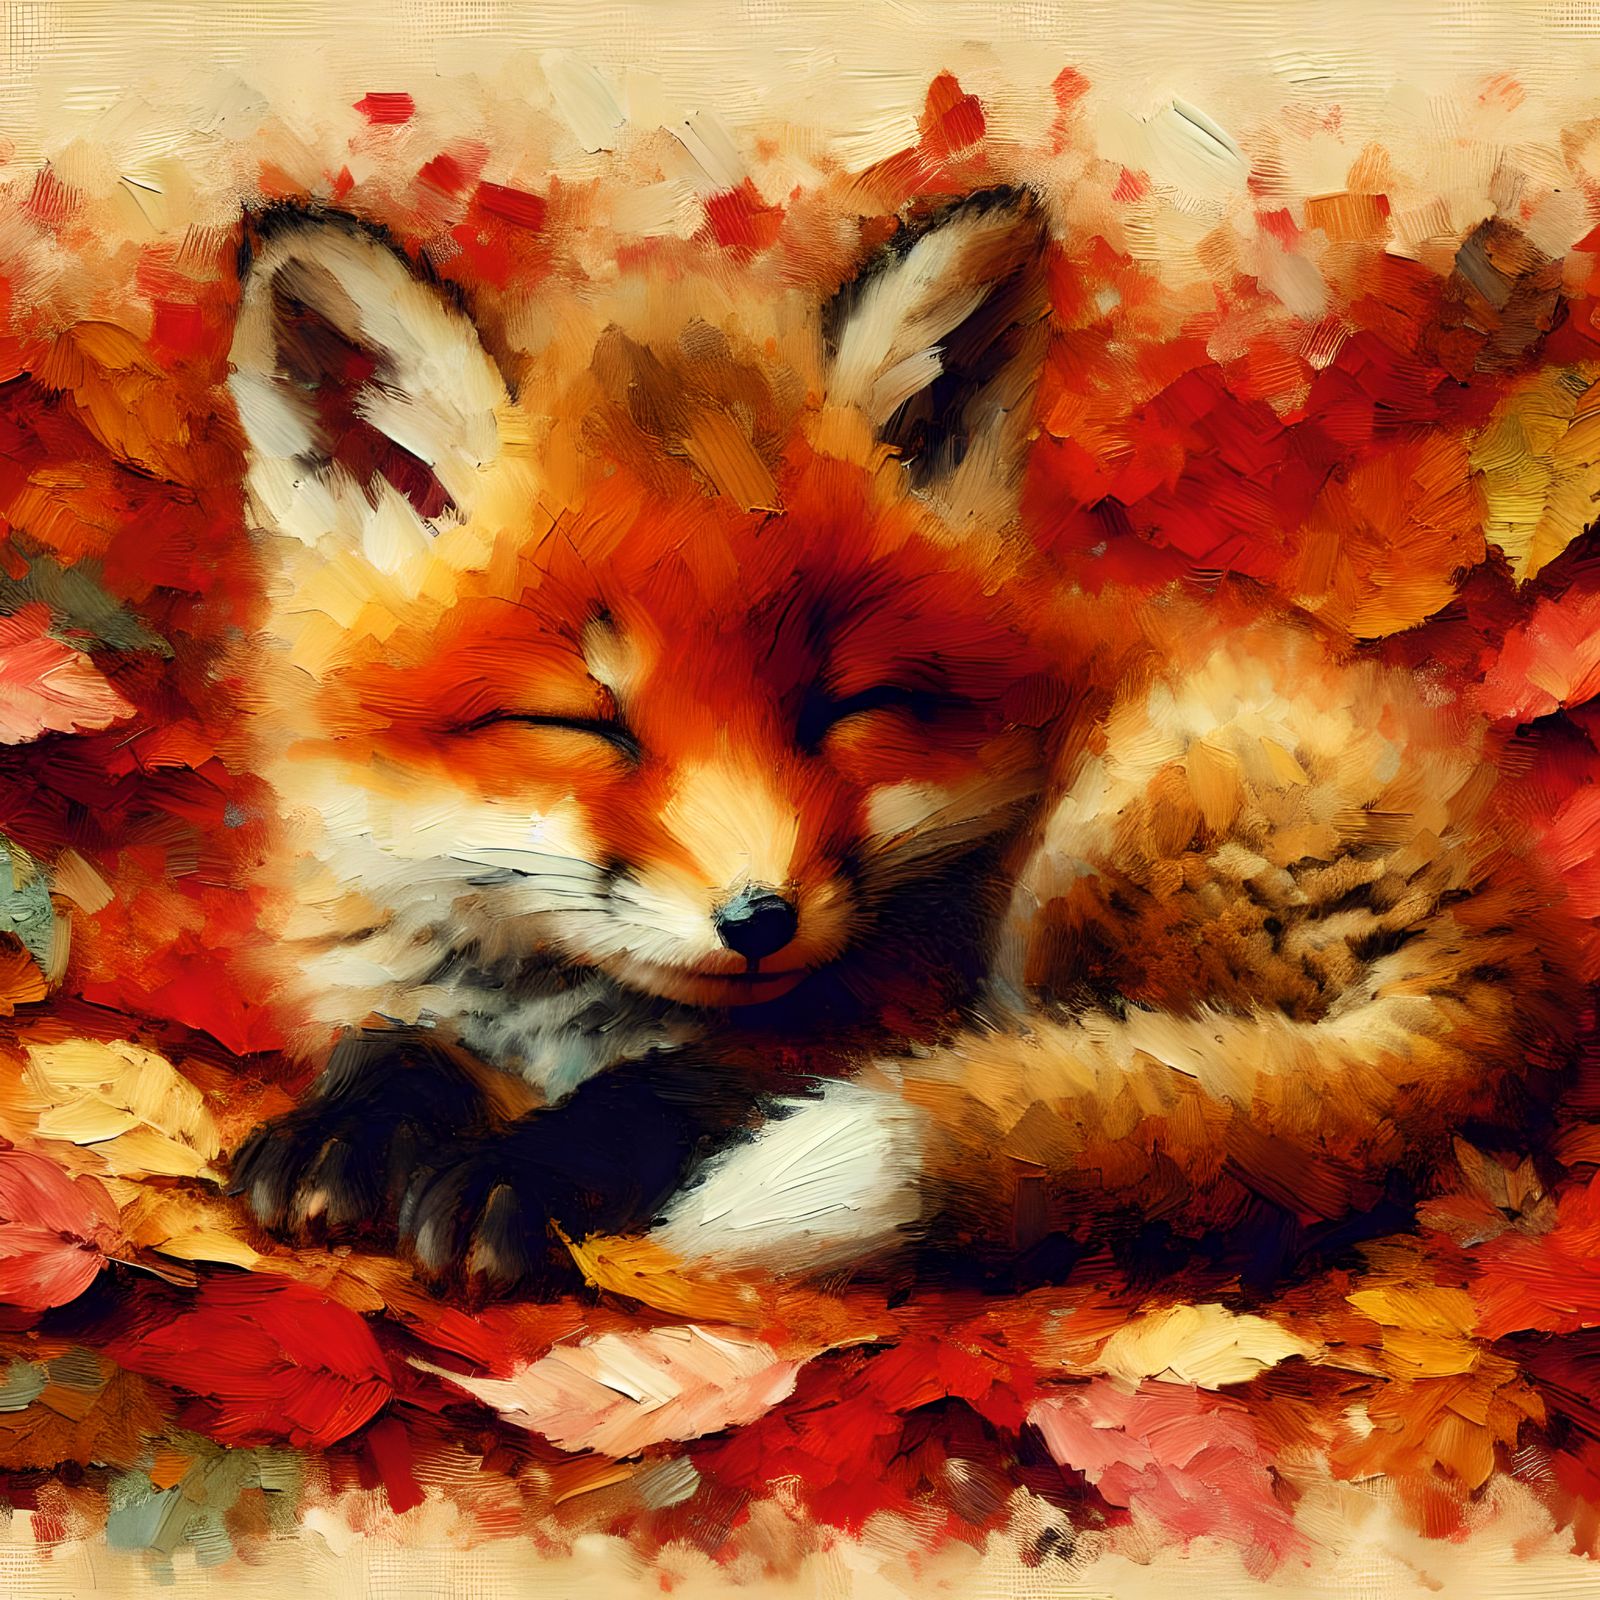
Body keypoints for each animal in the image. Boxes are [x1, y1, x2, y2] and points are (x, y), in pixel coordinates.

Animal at [223, 185, 1585, 1296]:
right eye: (580, 722)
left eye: (842, 708)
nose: (760, 921)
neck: (550, 1001)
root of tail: (1518, 955)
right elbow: (393, 1043)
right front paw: (350, 1125)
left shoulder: (888, 1002)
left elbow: (687, 1082)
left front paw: (532, 1170)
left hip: (1097, 858)